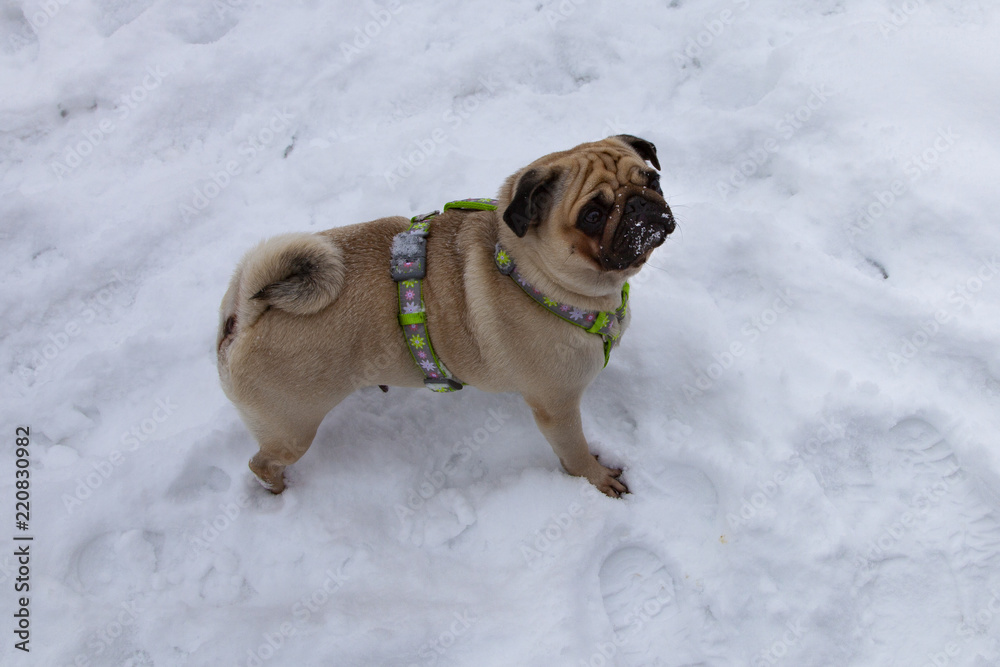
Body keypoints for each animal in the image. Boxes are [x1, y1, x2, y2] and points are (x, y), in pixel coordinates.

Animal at [216, 134, 676, 496]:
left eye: (651, 179)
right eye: (593, 215)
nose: (640, 206)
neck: (529, 271)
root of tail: (243, 318)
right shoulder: (557, 406)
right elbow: (576, 452)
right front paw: (596, 479)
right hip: (291, 429)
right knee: (262, 462)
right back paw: (277, 489)